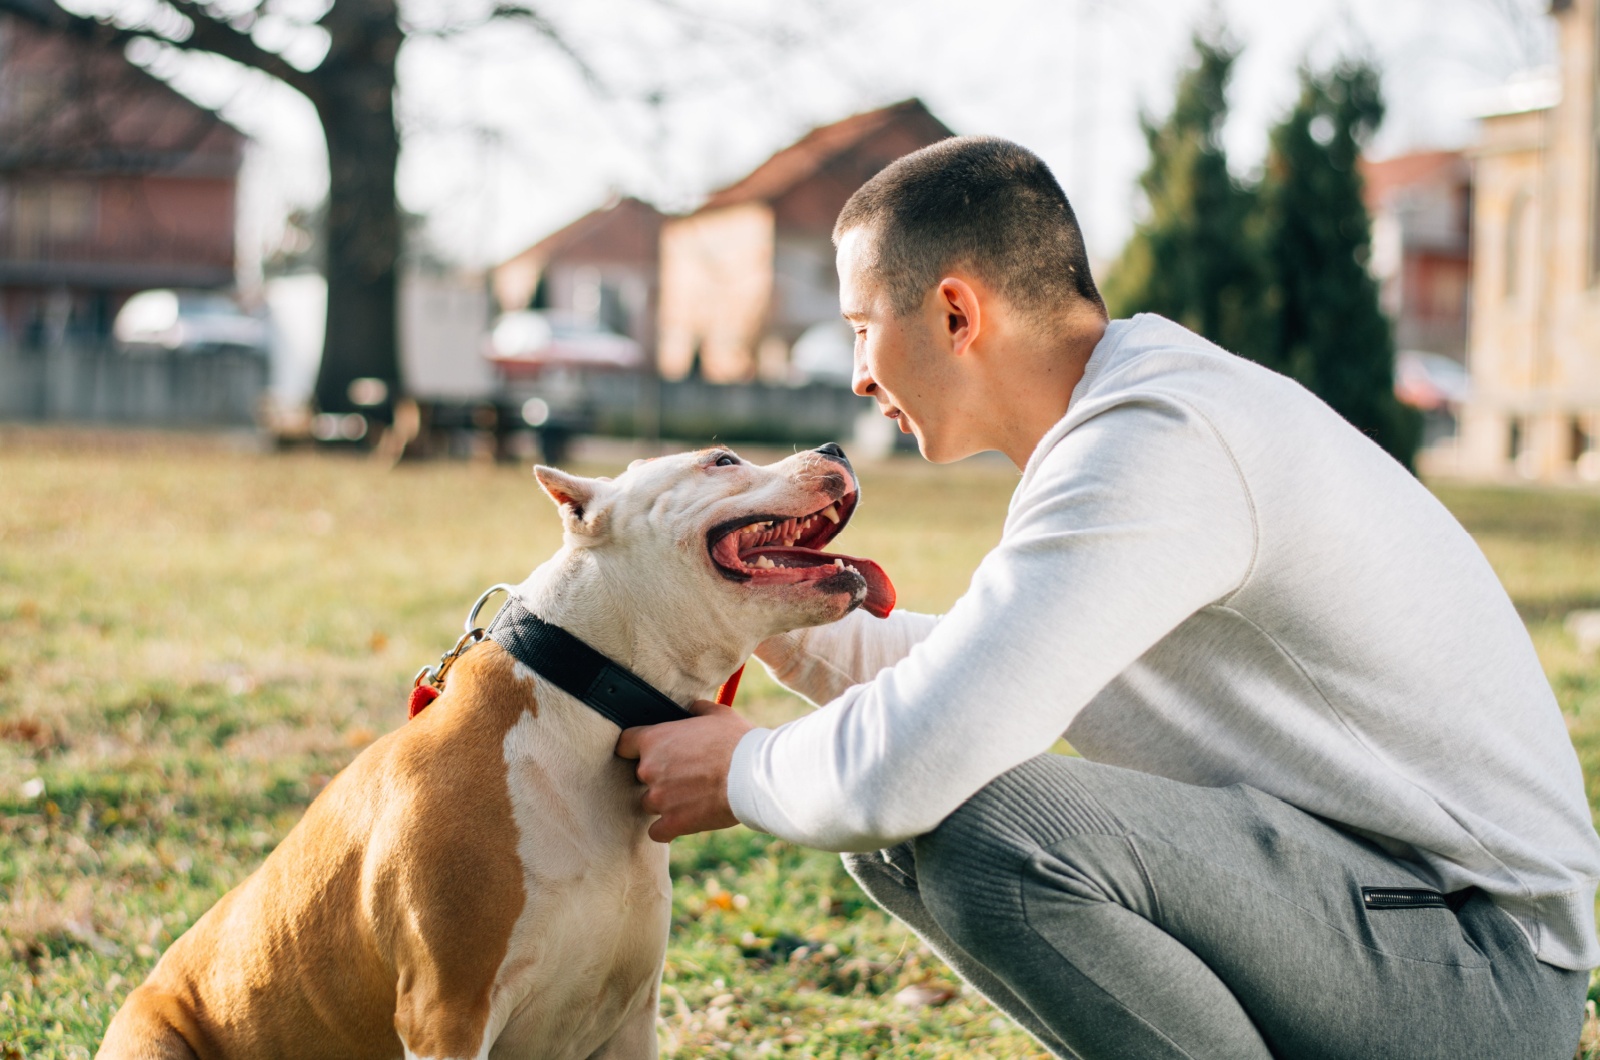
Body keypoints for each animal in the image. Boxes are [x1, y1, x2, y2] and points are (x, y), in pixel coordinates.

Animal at [96, 445, 902, 1060]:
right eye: (724, 460)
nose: (834, 448)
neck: (590, 705)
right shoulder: (447, 1013)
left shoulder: (629, 1016)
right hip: (152, 1037)